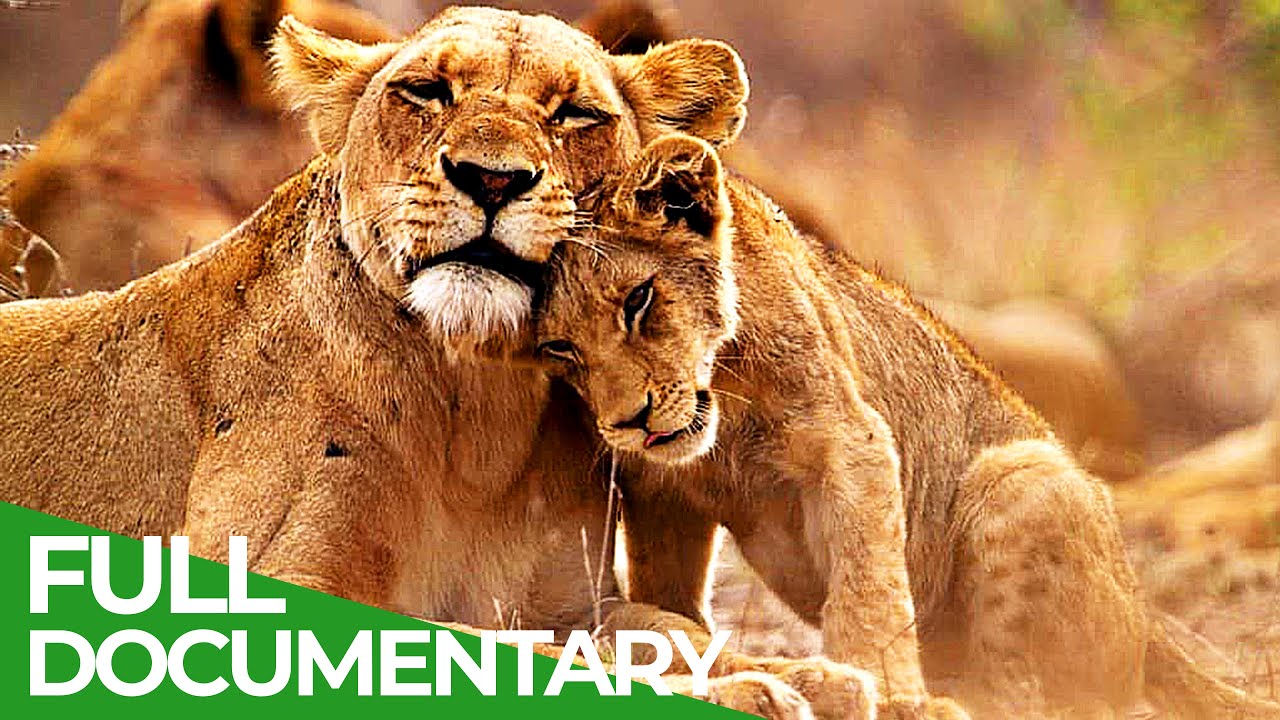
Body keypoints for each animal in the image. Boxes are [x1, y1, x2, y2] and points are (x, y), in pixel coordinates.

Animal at [0, 9, 875, 717]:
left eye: (576, 113)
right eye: (425, 92)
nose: (491, 177)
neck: (476, 408)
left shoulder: (577, 600)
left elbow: (667, 629)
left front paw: (814, 677)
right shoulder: (270, 604)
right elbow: (477, 646)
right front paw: (755, 690)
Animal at [534, 133, 1280, 718]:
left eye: (638, 300)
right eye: (560, 349)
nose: (628, 421)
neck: (723, 408)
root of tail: (1149, 620)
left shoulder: (851, 439)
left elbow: (868, 588)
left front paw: (887, 692)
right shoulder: (661, 489)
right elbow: (669, 593)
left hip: (1023, 473)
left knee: (1041, 698)